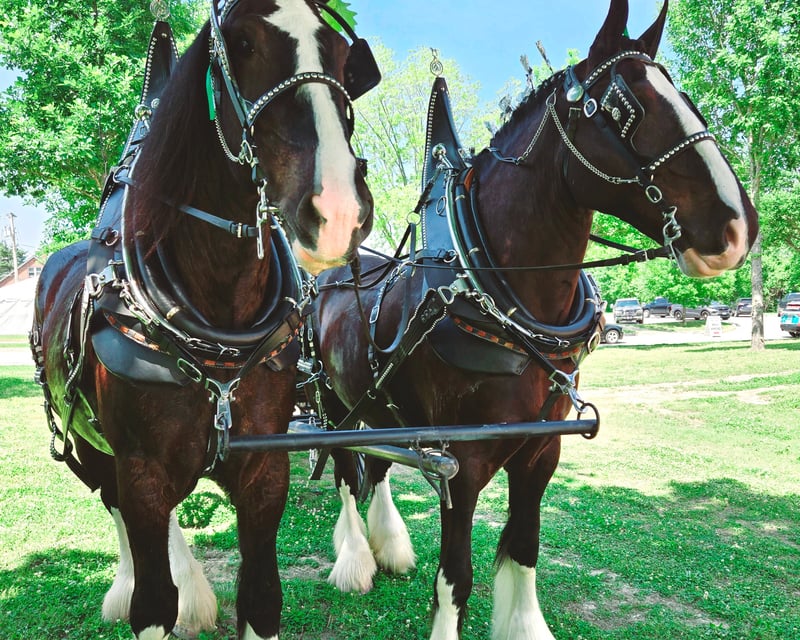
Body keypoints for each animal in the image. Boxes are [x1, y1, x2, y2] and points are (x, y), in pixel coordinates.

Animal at [30, 1, 376, 638]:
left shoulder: (265, 472)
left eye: (343, 57)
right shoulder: (142, 472)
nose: (337, 210)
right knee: (114, 506)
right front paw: (152, 593)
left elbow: (261, 597)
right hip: (88, 447)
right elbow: (151, 601)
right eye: (240, 42)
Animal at [309, 0, 759, 638]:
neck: (495, 300)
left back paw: (388, 545)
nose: (739, 226)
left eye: (688, 97)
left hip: (377, 409)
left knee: (377, 465)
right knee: (349, 473)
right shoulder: (460, 463)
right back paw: (354, 562)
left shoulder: (541, 453)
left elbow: (523, 549)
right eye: (623, 107)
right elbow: (457, 575)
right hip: (332, 403)